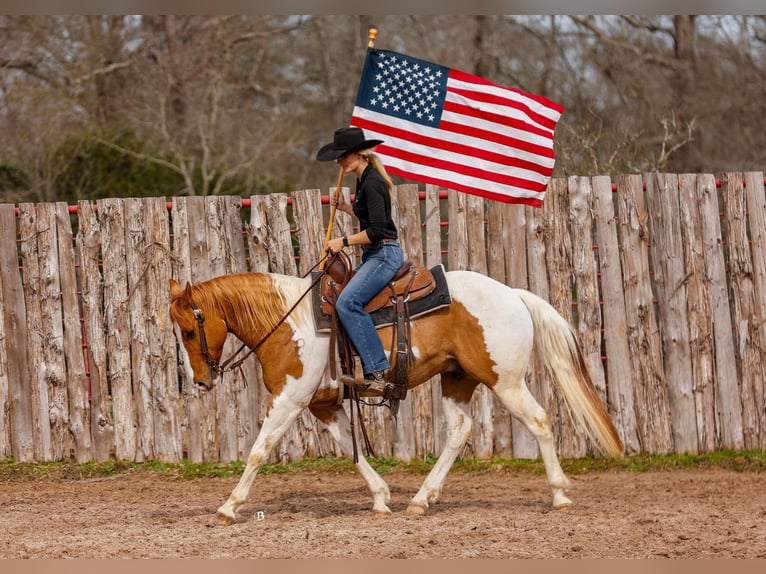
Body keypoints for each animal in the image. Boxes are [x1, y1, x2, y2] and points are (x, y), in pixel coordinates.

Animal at [168, 266, 624, 528]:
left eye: (189, 330)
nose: (201, 382)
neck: (288, 321)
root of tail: (512, 293)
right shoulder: (323, 404)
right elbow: (350, 450)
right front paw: (382, 498)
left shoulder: (288, 400)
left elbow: (259, 451)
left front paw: (229, 506)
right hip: (457, 379)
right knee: (460, 431)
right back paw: (421, 500)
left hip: (506, 380)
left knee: (540, 420)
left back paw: (560, 494)